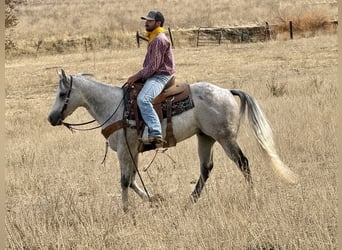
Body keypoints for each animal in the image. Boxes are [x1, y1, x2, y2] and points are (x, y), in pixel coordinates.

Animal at [47, 68, 296, 211]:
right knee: (206, 168)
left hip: (225, 138)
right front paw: (154, 199)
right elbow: (132, 180)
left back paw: (252, 195)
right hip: (205, 138)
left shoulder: (125, 151)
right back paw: (190, 201)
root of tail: (227, 91)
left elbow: (125, 181)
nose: (51, 118)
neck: (114, 106)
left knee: (243, 163)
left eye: (62, 94)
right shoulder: (133, 151)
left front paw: (126, 211)